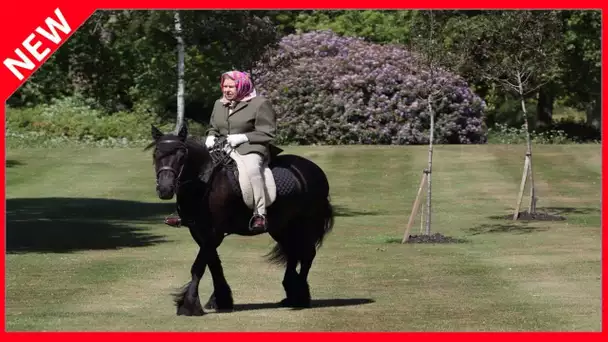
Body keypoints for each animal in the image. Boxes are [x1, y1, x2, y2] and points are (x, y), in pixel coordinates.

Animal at [148, 124, 338, 316]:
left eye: (182, 155)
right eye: (156, 154)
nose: (165, 189)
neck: (205, 182)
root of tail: (314, 169)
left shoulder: (214, 232)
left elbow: (199, 265)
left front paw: (189, 304)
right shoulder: (199, 231)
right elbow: (213, 263)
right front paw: (221, 300)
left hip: (305, 224)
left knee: (307, 254)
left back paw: (300, 297)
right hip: (282, 227)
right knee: (293, 253)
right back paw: (292, 294)